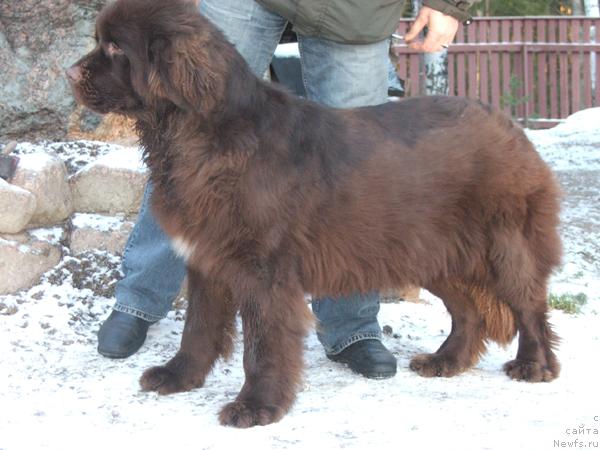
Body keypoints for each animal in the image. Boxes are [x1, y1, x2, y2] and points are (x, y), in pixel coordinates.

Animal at [69, 0, 564, 428]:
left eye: (116, 48)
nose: (70, 71)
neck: (200, 134)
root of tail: (507, 123)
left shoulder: (265, 271)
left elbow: (262, 344)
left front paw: (257, 406)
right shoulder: (206, 258)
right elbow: (199, 327)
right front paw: (179, 377)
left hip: (500, 243)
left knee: (529, 304)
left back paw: (533, 365)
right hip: (432, 249)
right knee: (470, 312)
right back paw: (446, 361)